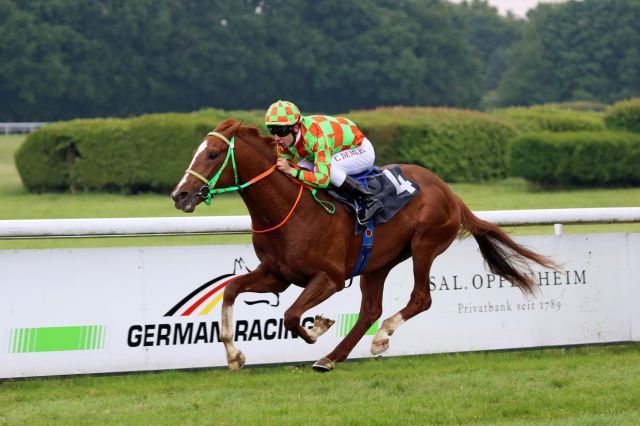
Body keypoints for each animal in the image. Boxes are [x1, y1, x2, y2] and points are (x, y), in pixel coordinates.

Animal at [170, 118, 556, 372]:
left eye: (213, 154)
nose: (180, 195)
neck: (287, 209)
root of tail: (448, 191)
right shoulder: (276, 275)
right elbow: (231, 290)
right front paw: (234, 355)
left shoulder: (329, 277)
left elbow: (292, 315)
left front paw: (319, 326)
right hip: (378, 262)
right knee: (370, 309)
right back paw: (332, 357)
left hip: (425, 244)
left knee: (420, 298)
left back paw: (379, 337)